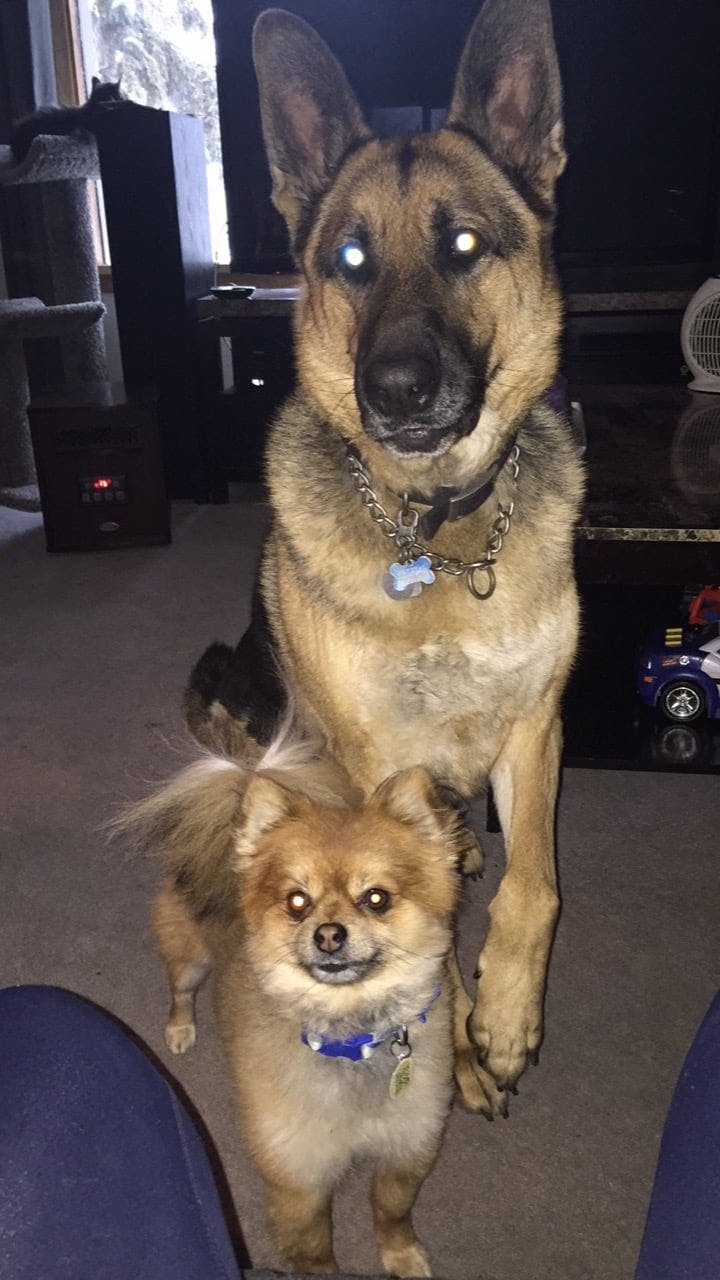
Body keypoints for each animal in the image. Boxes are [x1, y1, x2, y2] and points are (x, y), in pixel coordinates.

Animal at [125, 720, 463, 1277]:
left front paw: (402, 1256)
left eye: (376, 898)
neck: (353, 1038)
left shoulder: (407, 1148)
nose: (328, 934)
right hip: (188, 956)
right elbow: (314, 1251)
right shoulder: (299, 1178)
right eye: (297, 901)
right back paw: (180, 1029)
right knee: (180, 990)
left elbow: (391, 1213)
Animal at [188, 0, 584, 1115]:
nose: (396, 389)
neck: (437, 537)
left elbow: (535, 884)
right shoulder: (368, 763)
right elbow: (425, 920)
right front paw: (463, 1036)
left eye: (465, 244)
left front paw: (506, 1016)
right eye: (351, 260)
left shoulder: (539, 727)